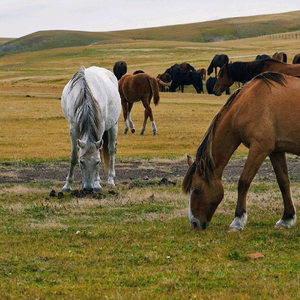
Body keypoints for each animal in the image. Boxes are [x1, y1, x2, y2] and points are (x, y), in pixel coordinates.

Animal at [182, 72, 298, 232]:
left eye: (197, 190)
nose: (194, 224)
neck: (251, 101)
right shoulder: (276, 151)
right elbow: (283, 182)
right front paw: (287, 219)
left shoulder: (260, 148)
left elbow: (243, 182)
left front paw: (237, 222)